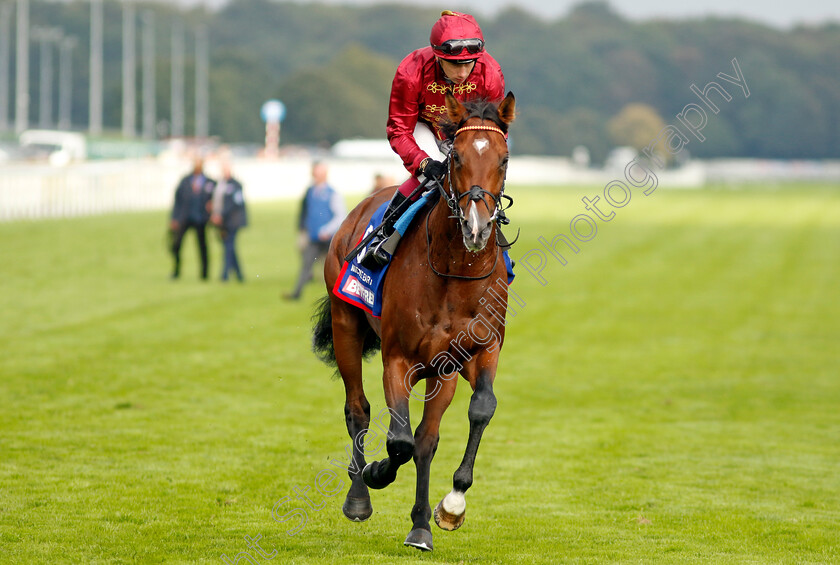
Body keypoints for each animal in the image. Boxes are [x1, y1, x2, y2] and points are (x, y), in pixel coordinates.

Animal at [312, 90, 516, 548]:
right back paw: (358, 495)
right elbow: (399, 440)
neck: (454, 272)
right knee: (358, 410)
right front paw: (376, 474)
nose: (476, 227)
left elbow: (472, 414)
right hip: (346, 324)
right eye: (455, 157)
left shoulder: (469, 355)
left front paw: (444, 510)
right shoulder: (398, 358)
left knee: (421, 436)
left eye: (504, 159)